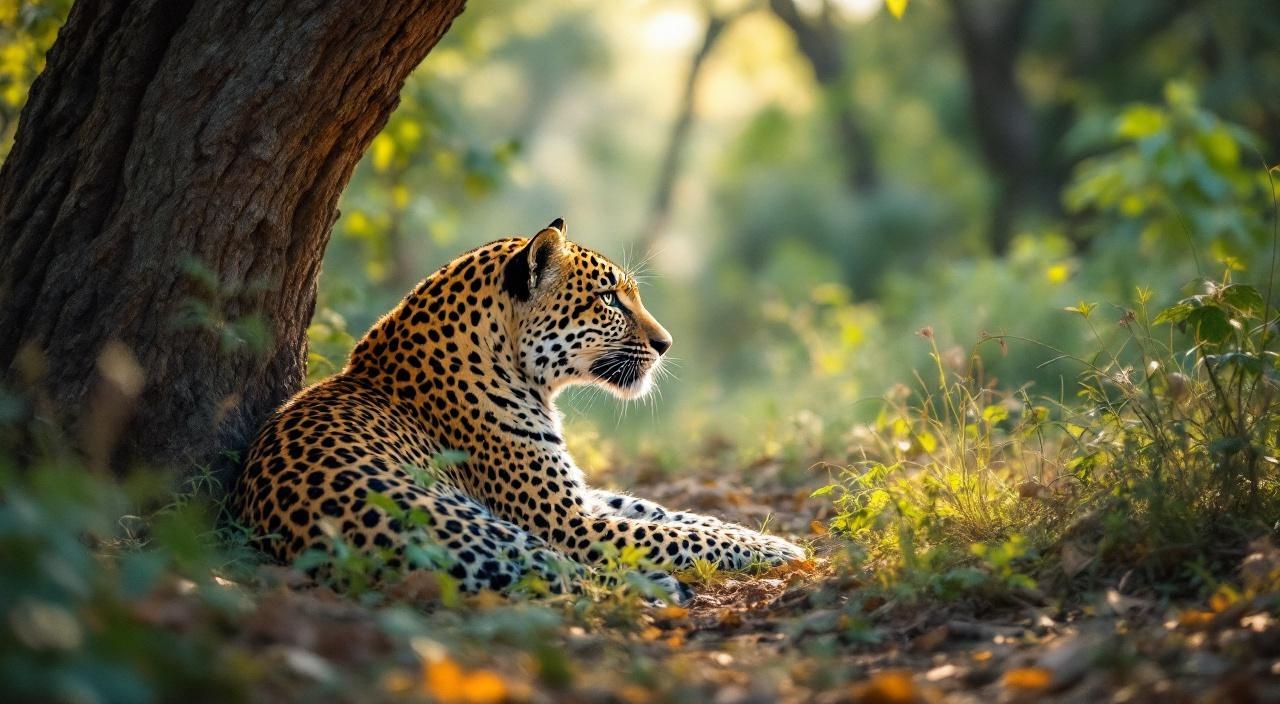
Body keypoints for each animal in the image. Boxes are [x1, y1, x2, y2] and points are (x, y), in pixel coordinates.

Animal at [233, 218, 806, 602]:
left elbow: (665, 512)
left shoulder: (578, 499)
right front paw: (785, 552)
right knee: (569, 577)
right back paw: (660, 587)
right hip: (462, 521)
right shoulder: (566, 521)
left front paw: (765, 534)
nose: (666, 344)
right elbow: (673, 534)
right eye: (610, 299)